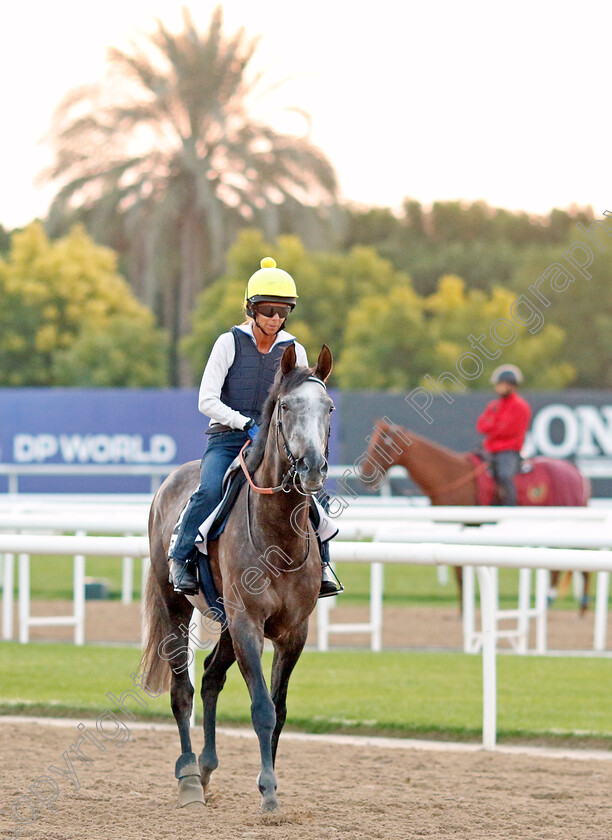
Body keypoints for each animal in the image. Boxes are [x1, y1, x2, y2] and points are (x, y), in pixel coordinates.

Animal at [140, 344, 332, 812]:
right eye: (286, 406)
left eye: (329, 407)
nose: (313, 467)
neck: (278, 534)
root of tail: (166, 484)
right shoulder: (247, 623)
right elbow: (261, 707)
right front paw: (268, 793)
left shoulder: (292, 631)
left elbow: (279, 710)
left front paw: (271, 782)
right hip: (175, 604)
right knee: (182, 691)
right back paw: (190, 776)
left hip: (225, 616)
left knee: (211, 676)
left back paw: (207, 768)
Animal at [360, 420, 592, 612]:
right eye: (370, 442)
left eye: (382, 445)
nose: (365, 475)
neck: (450, 476)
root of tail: (578, 473)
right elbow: (459, 571)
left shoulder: (466, 526)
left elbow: (461, 571)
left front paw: (464, 610)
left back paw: (578, 605)